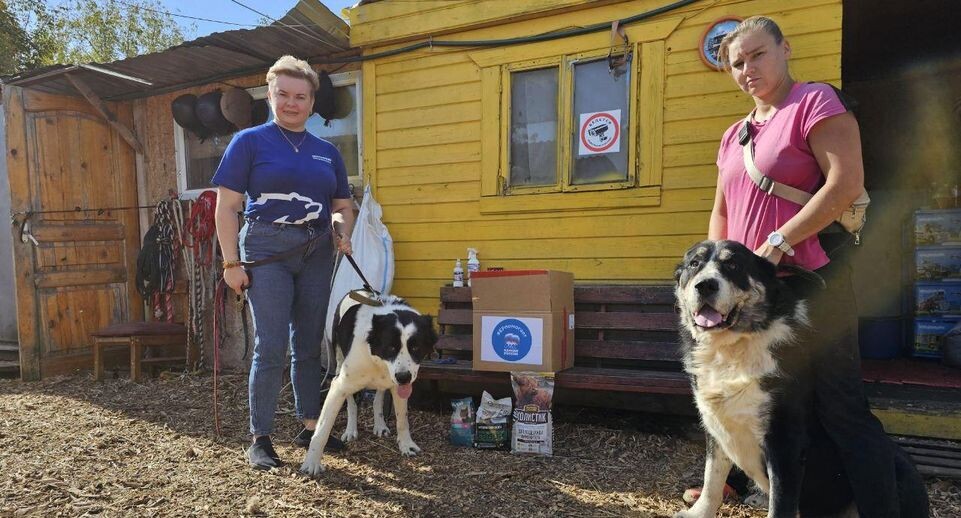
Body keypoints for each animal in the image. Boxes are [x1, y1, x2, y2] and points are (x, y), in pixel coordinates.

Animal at [298, 294, 436, 478]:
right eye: (391, 347)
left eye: (415, 347)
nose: (404, 377)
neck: (377, 359)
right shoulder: (338, 386)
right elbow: (322, 430)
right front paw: (312, 463)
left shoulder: (398, 385)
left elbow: (402, 419)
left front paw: (406, 445)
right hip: (340, 363)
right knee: (351, 403)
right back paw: (350, 430)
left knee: (378, 398)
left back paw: (380, 425)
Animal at [672, 242, 928, 518]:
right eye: (694, 264)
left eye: (733, 265)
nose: (705, 285)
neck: (733, 348)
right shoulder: (716, 427)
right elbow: (712, 479)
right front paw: (698, 512)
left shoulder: (785, 440)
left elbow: (780, 503)